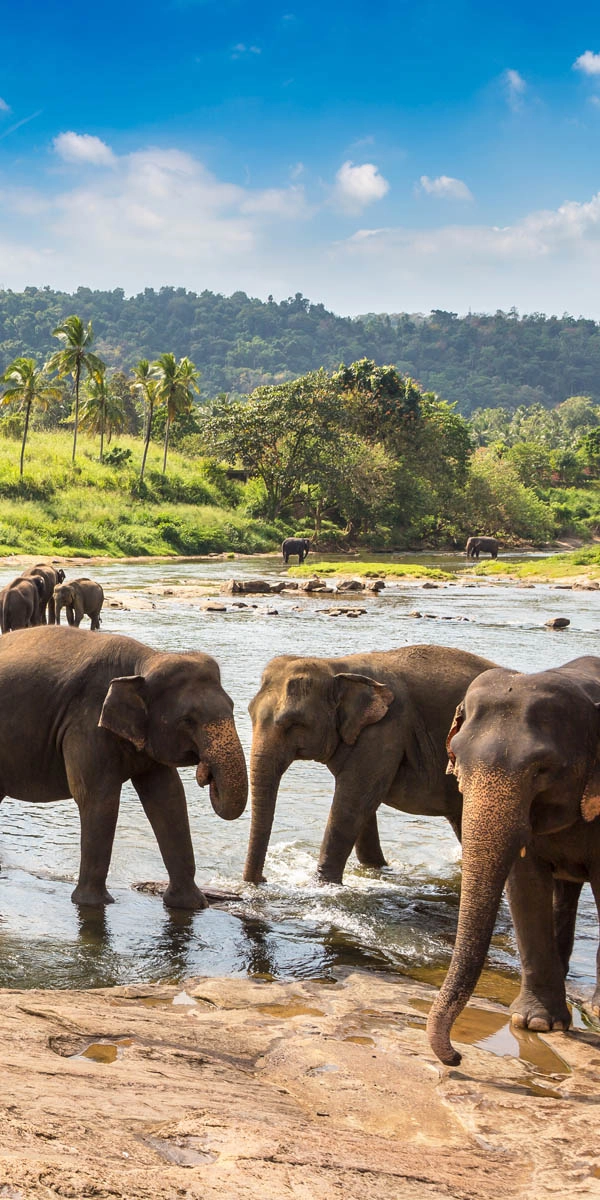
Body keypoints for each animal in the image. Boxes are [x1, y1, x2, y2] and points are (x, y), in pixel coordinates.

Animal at [0, 628, 249, 907]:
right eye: (187, 720)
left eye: (232, 707)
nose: (206, 774)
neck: (146, 660)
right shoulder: (86, 724)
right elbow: (97, 797)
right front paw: (92, 903)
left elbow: (168, 797)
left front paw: (191, 904)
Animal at [241, 643, 494, 888]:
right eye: (250, 713)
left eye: (294, 723)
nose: (263, 880)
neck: (334, 667)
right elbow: (363, 805)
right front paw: (376, 869)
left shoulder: (385, 730)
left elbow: (351, 803)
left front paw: (321, 884)